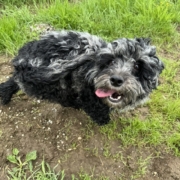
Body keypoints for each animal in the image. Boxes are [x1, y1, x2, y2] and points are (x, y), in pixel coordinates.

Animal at [0, 29, 164, 125]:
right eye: (111, 61)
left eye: (137, 66)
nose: (116, 80)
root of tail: (22, 62)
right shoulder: (86, 91)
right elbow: (94, 107)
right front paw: (102, 119)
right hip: (52, 84)